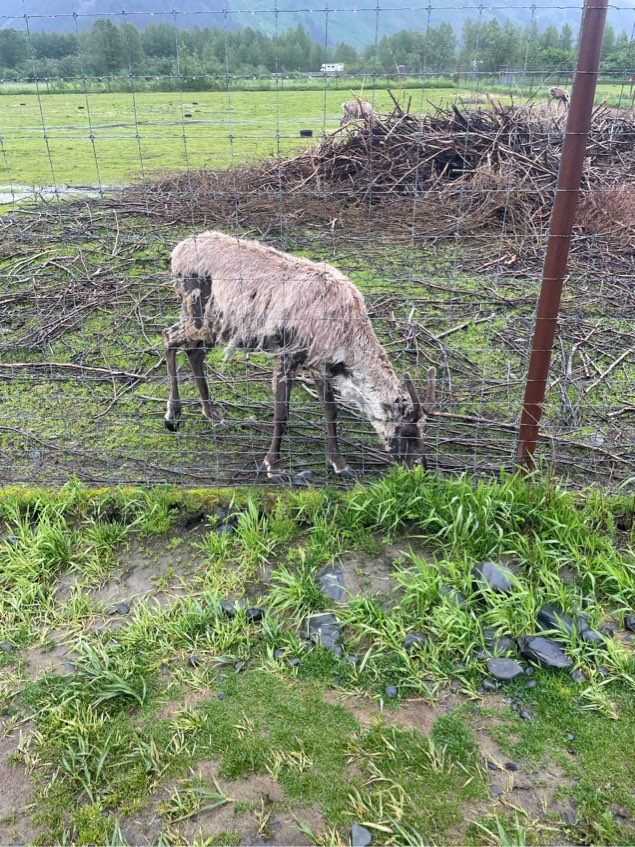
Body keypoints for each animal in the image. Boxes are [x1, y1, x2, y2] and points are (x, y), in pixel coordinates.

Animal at [163, 231, 436, 483]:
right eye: (407, 431)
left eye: (424, 428)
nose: (420, 469)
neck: (347, 335)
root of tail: (177, 252)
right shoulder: (288, 355)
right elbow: (281, 414)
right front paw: (274, 467)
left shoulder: (320, 364)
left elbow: (331, 410)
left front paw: (339, 464)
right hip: (198, 314)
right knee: (169, 336)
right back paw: (172, 416)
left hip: (218, 326)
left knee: (193, 353)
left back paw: (211, 414)